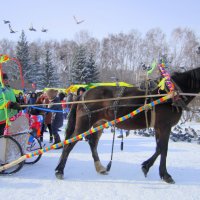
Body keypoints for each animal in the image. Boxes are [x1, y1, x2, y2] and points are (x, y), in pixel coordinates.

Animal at [54, 67, 200, 183]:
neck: (169, 94)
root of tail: (82, 95)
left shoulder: (159, 127)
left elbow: (159, 148)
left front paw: (147, 167)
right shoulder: (165, 126)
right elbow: (163, 149)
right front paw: (164, 174)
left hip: (99, 123)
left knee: (92, 142)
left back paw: (100, 167)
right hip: (84, 123)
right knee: (70, 142)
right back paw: (60, 170)